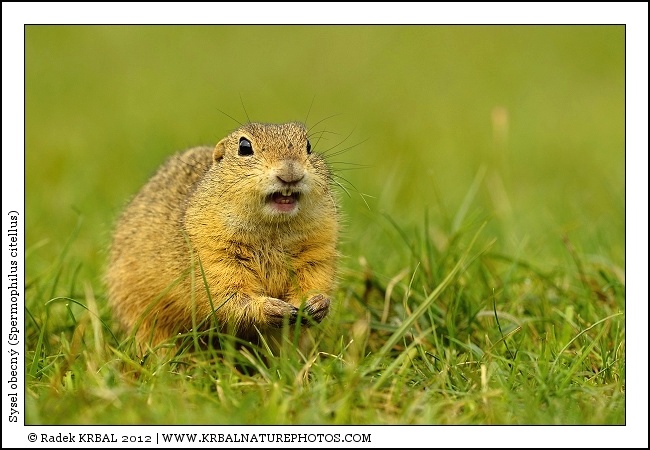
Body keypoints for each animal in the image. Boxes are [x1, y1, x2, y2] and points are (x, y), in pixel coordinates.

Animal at [106, 122, 339, 350]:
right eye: (244, 147)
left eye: (308, 146)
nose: (290, 170)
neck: (273, 231)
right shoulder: (213, 255)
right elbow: (227, 296)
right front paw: (271, 308)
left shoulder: (318, 249)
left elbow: (314, 277)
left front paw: (316, 303)